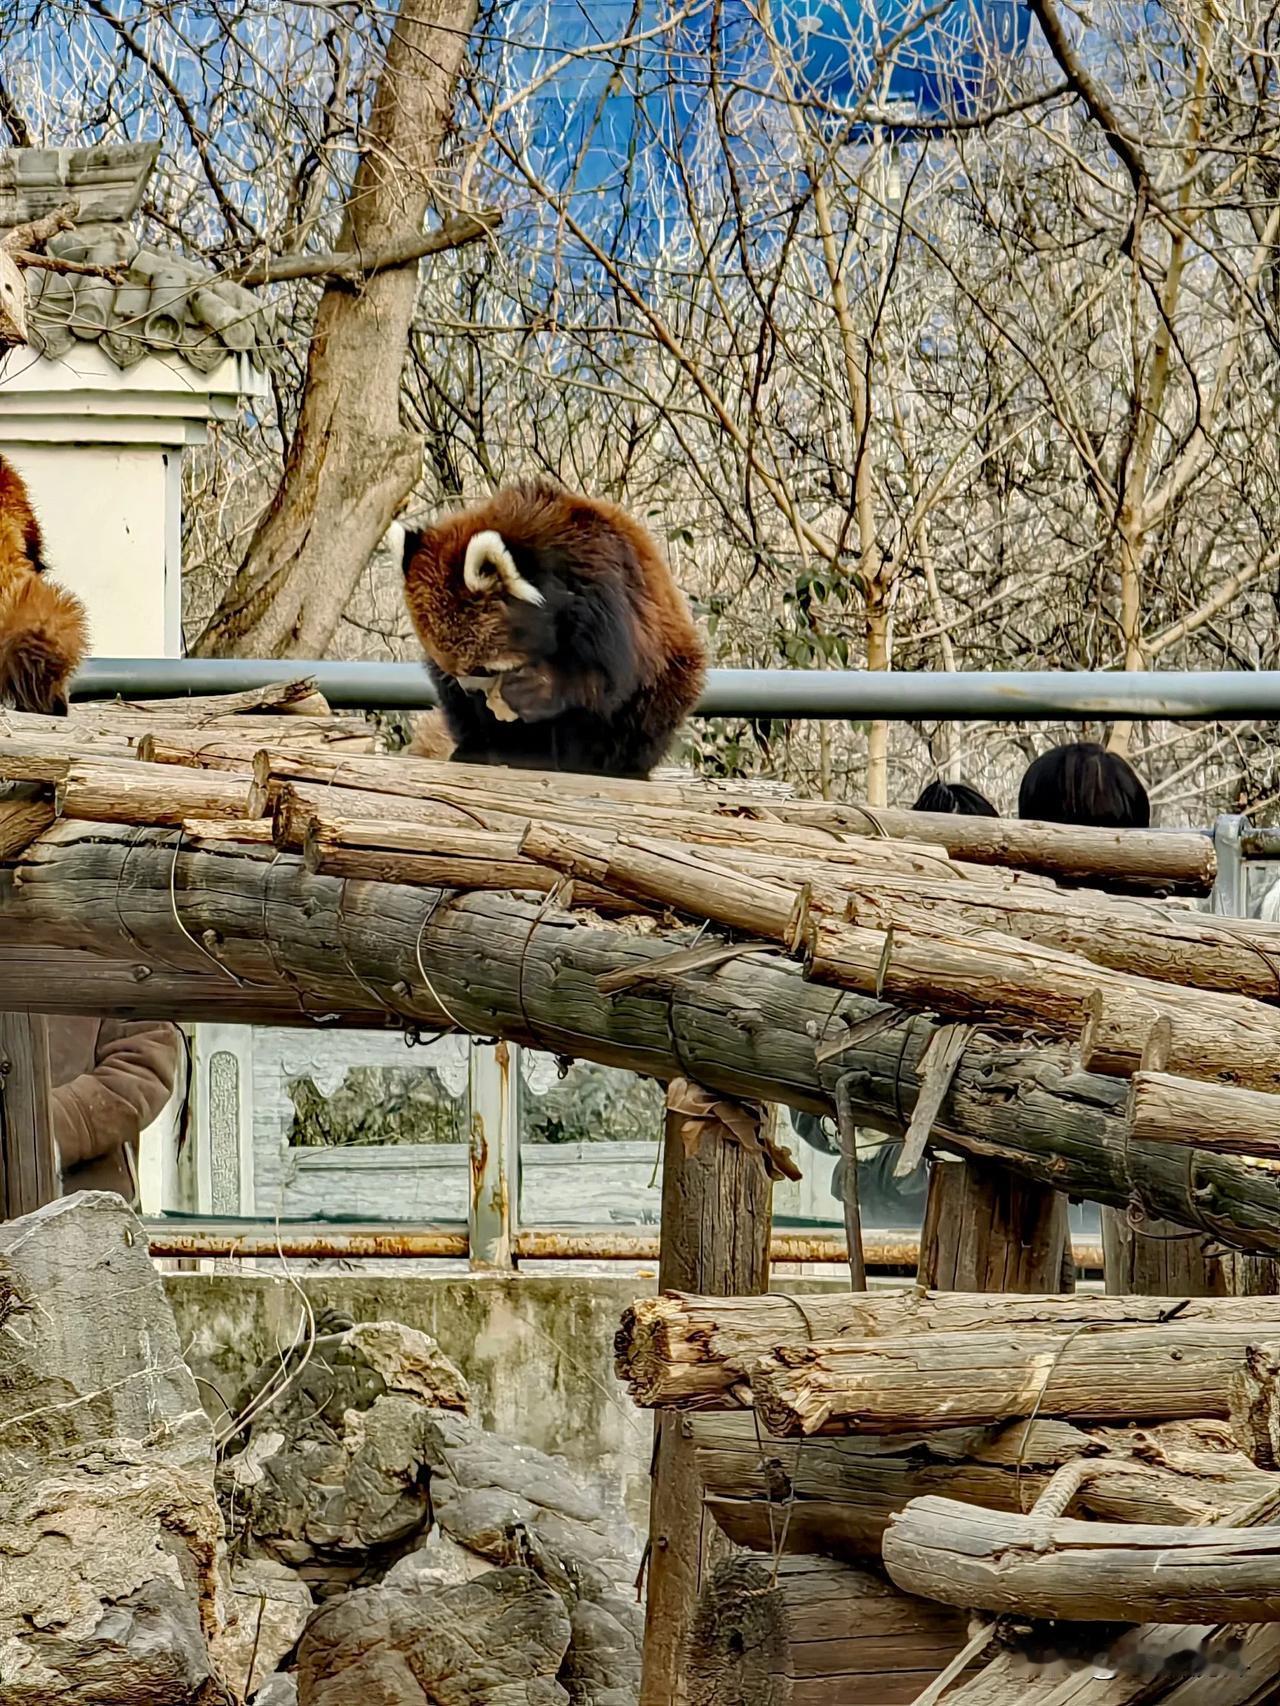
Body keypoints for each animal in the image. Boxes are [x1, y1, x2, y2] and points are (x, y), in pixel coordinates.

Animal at [401, 477, 706, 777]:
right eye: (459, 671)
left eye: (483, 669)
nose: (468, 687)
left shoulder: (603, 586)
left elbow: (610, 676)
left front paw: (539, 686)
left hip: (668, 681)